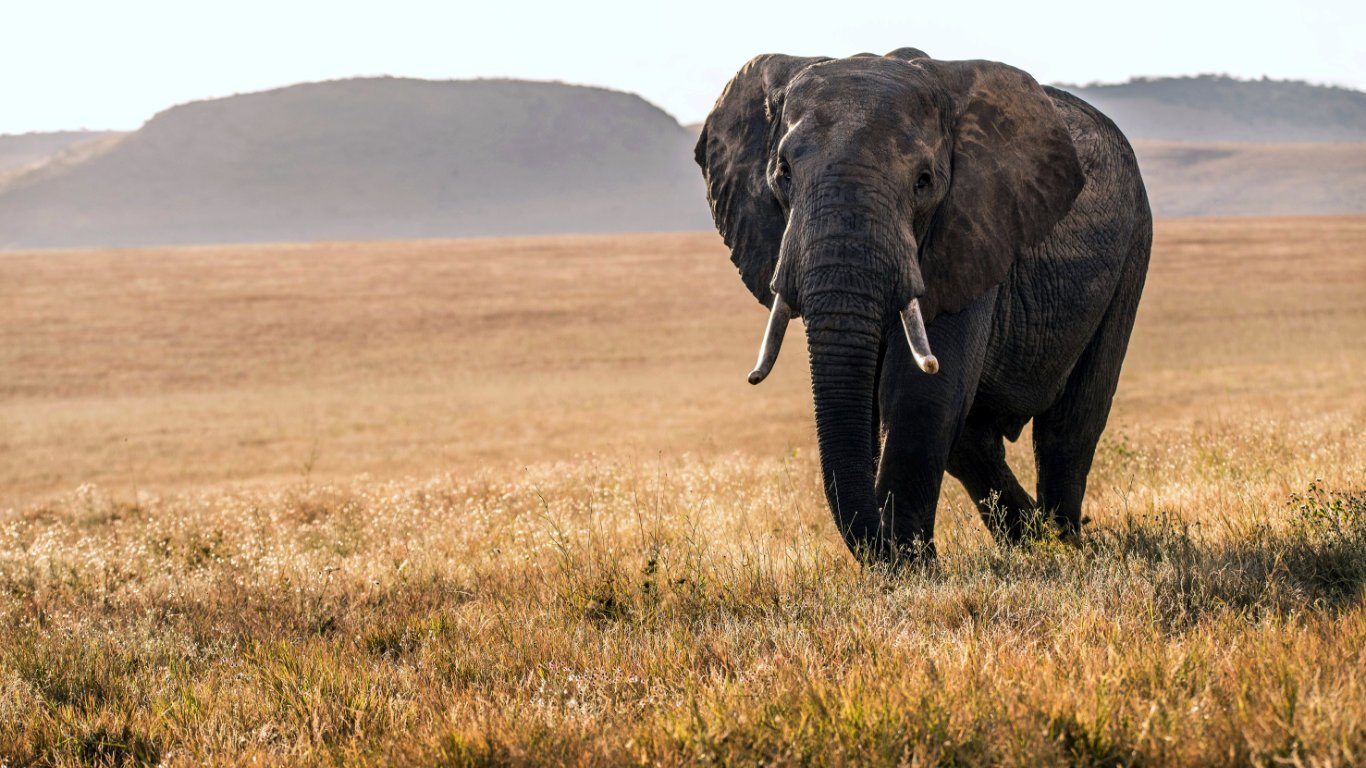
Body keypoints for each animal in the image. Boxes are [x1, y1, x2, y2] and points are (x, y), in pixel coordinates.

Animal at [694, 48, 1151, 564]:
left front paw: (912, 567)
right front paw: (907, 560)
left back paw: (1065, 545)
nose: (886, 547)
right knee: (974, 441)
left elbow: (919, 392)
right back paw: (1031, 541)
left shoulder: (971, 229)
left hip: (1134, 247)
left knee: (1069, 427)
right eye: (783, 173)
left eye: (924, 181)